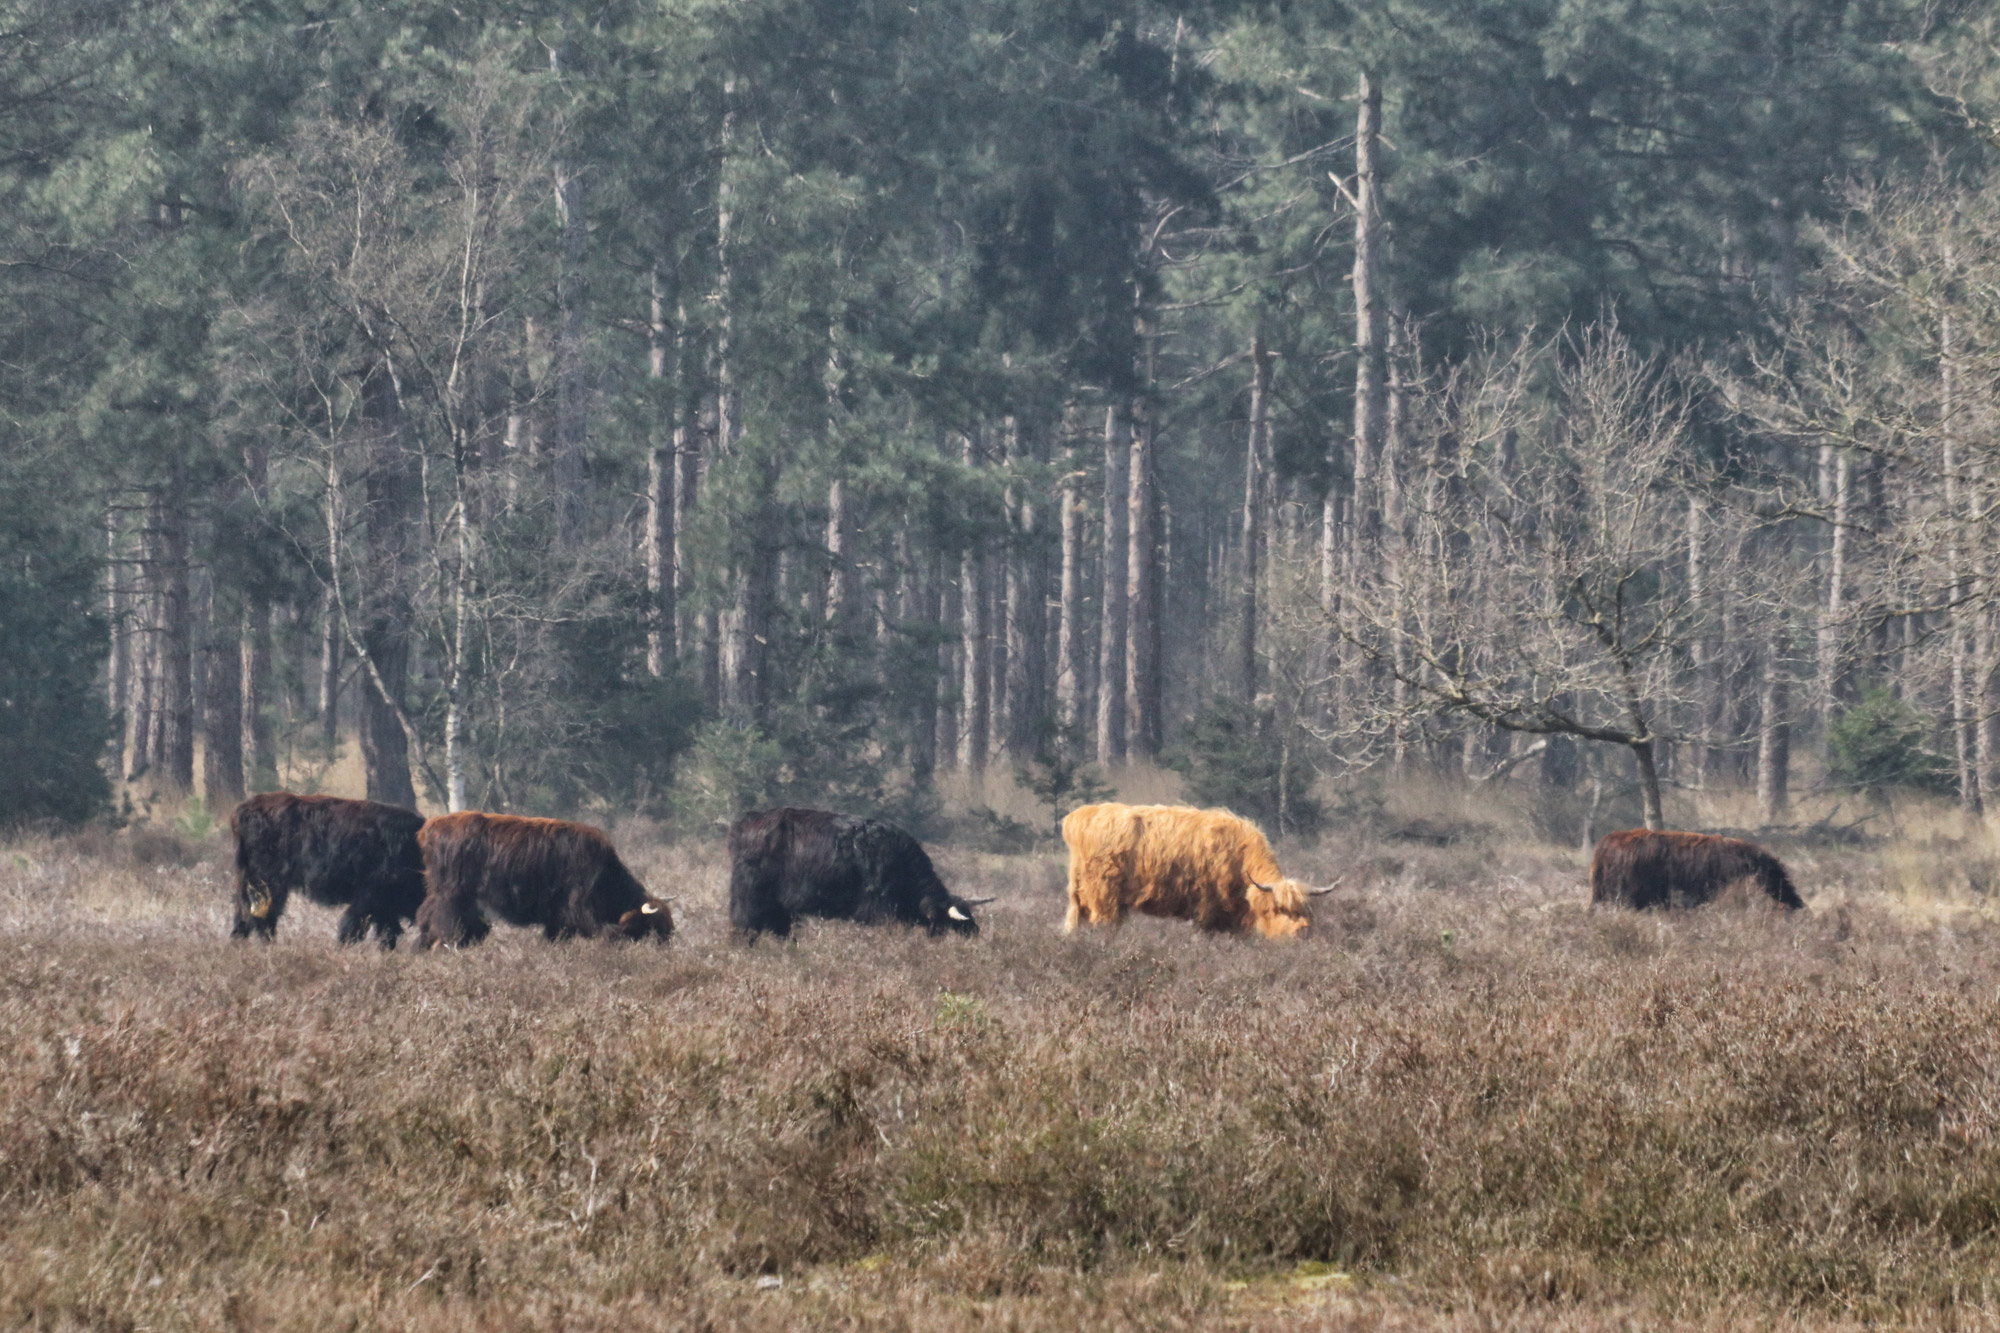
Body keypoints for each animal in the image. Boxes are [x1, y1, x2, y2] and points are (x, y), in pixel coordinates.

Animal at [229, 788, 428, 944]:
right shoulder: (368, 899)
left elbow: (387, 935)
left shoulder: (386, 909)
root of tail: (242, 810)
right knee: (262, 919)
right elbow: (352, 929)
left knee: (244, 916)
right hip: (268, 886)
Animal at [410, 808, 676, 944]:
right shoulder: (578, 910)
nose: (664, 948)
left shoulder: (557, 918)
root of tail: (430, 828)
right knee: (446, 927)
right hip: (452, 898)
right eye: (650, 928)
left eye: (668, 928)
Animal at [1064, 800, 1328, 932]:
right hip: (1103, 897)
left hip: (1080, 896)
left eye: (1304, 910)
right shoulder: (1208, 906)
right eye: (1280, 909)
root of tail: (1081, 816)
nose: (1302, 931)